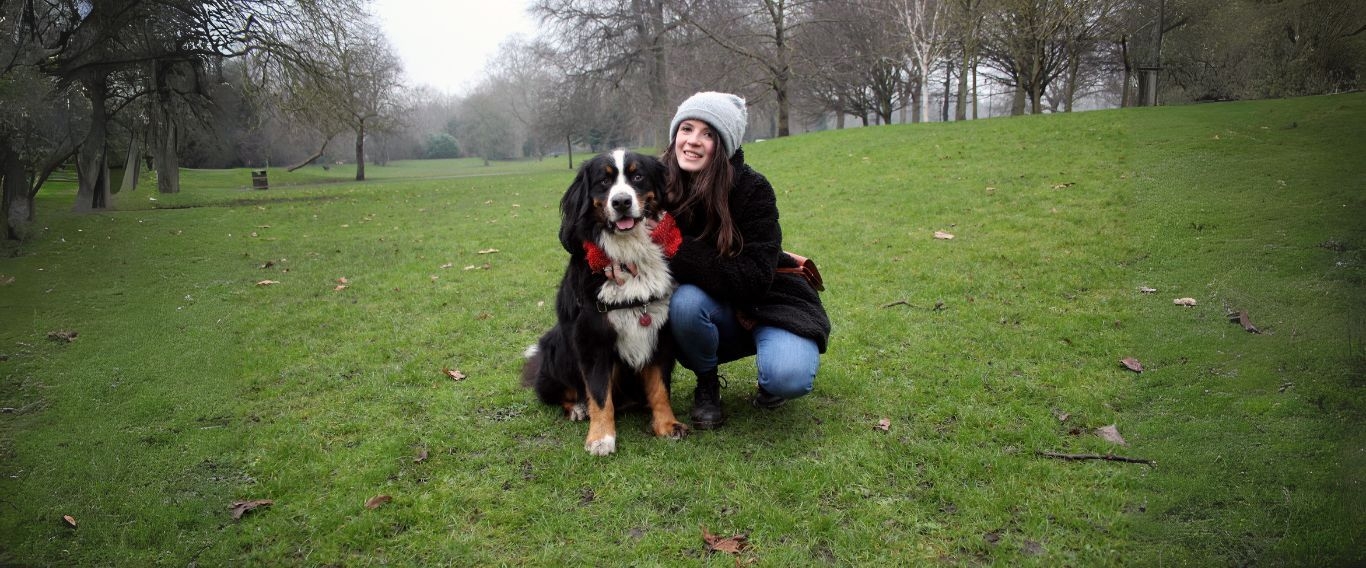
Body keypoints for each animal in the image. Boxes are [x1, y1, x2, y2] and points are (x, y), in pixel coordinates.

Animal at [516, 148, 688, 456]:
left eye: (637, 176)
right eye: (604, 181)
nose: (621, 202)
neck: (628, 257)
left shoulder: (660, 334)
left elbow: (659, 388)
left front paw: (667, 425)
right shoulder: (592, 339)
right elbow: (598, 394)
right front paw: (601, 438)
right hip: (556, 348)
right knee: (558, 393)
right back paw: (576, 409)